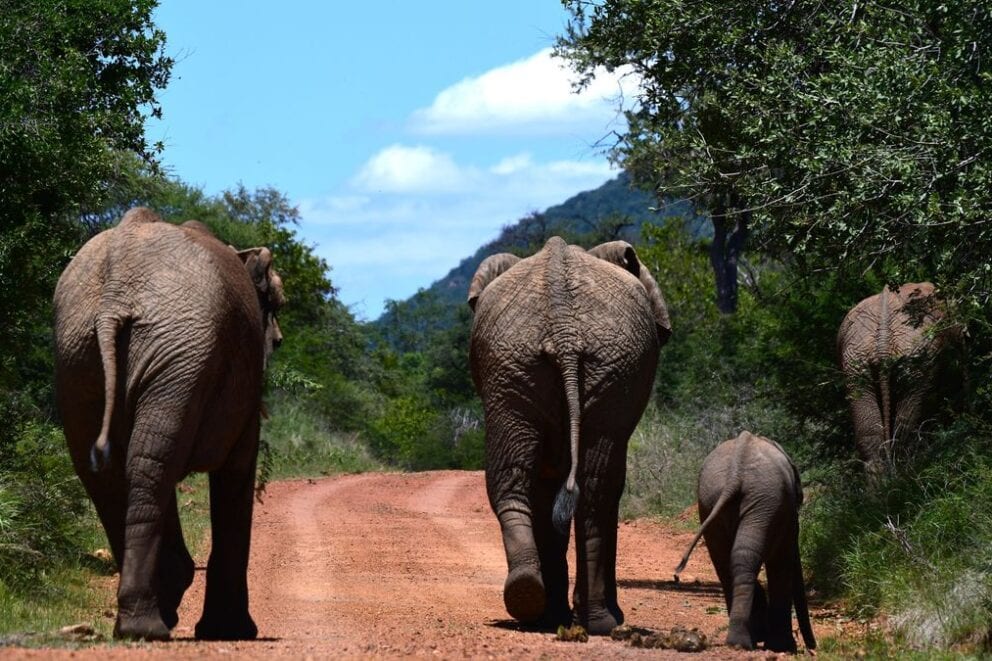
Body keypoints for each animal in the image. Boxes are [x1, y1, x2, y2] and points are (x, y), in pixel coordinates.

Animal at [53, 207, 285, 641]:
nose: (277, 341)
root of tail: (116, 291)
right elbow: (236, 472)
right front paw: (231, 631)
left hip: (81, 351)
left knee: (122, 469)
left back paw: (141, 621)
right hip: (177, 351)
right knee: (149, 465)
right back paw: (148, 625)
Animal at [467, 236, 671, 635]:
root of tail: (564, 330)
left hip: (529, 366)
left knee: (529, 481)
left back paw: (537, 601)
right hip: (551, 365)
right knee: (592, 490)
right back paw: (586, 618)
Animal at [674, 431, 816, 653]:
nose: (812, 646)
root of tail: (735, 475)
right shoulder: (786, 516)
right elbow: (782, 562)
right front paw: (783, 647)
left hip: (712, 500)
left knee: (731, 562)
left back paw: (738, 642)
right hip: (765, 500)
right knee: (746, 559)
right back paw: (750, 642)